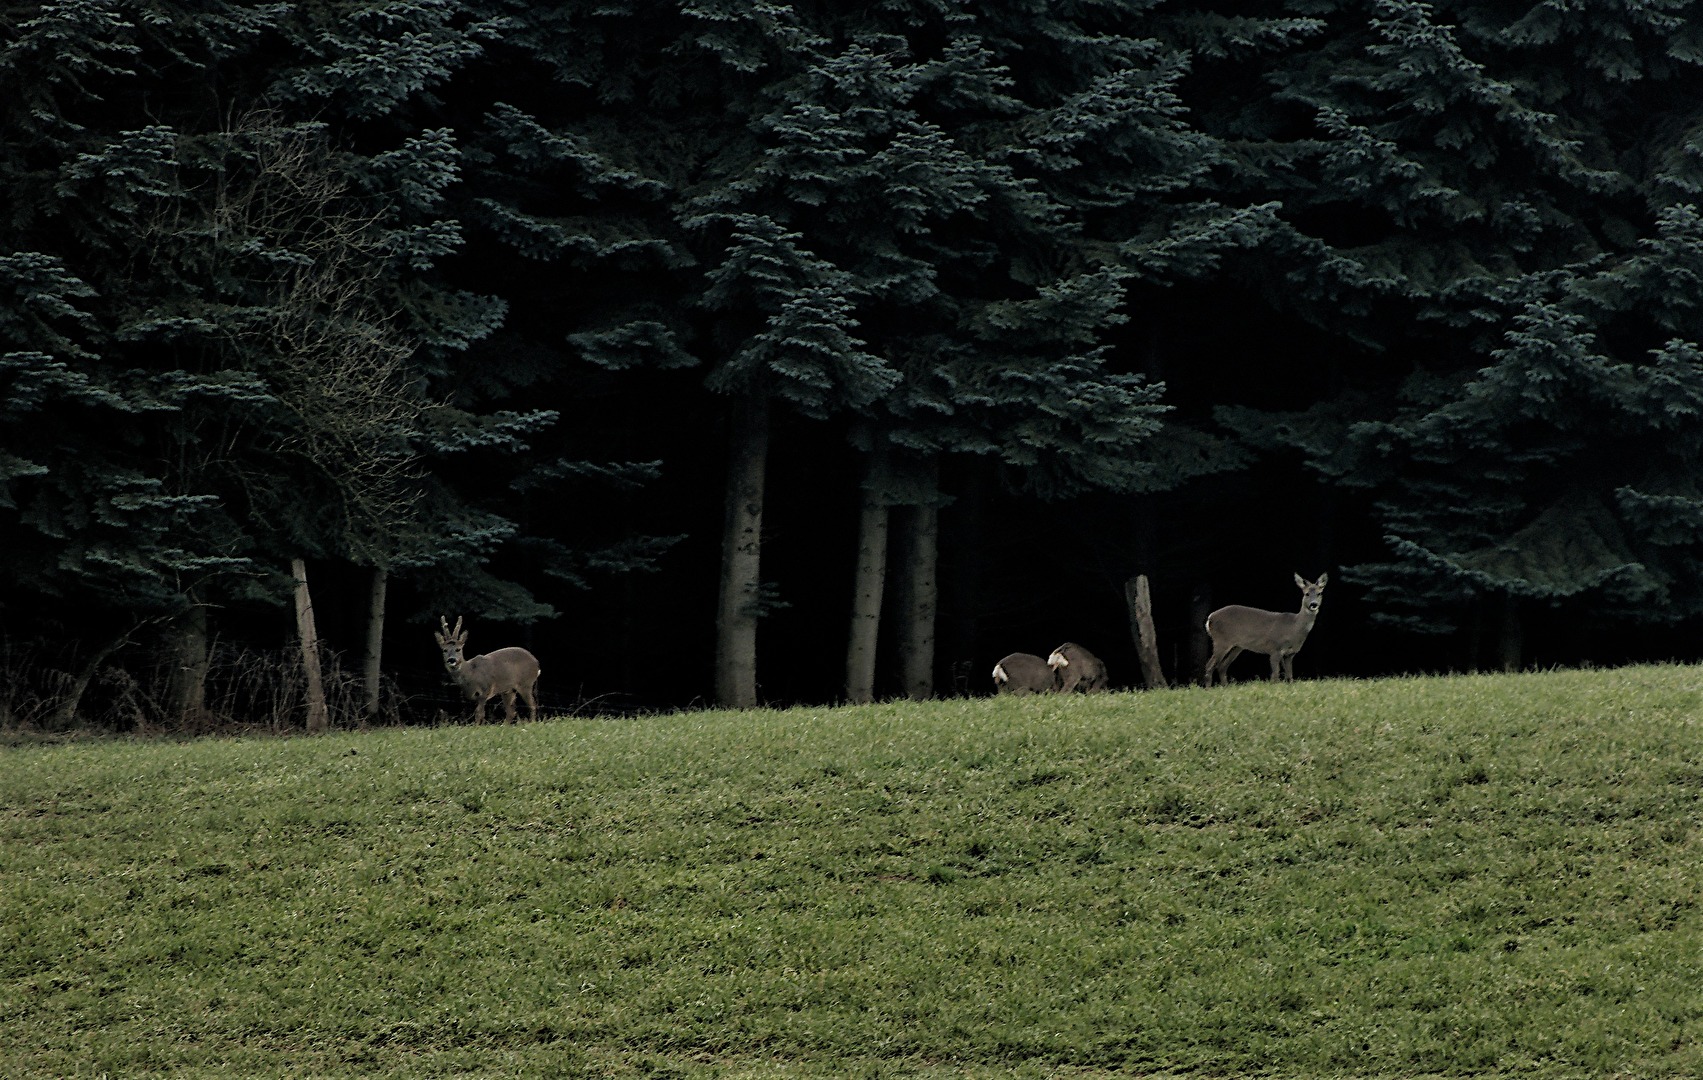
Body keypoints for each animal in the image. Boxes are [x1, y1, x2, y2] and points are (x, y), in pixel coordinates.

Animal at [1198, 568, 1328, 684]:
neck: (1293, 628)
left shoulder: (1290, 654)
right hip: (1221, 640)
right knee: (1209, 665)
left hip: (1237, 646)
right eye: (1306, 594)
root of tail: (1210, 617)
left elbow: (1290, 677)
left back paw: (1225, 687)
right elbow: (1275, 677)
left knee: (1222, 666)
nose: (1313, 604)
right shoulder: (1275, 648)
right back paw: (1209, 689)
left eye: (1319, 593)